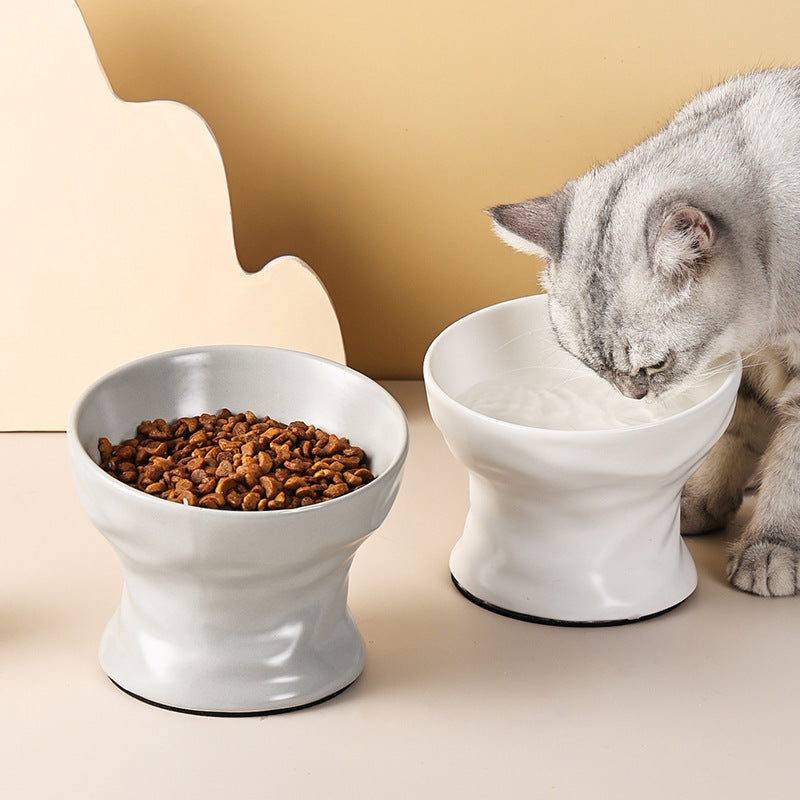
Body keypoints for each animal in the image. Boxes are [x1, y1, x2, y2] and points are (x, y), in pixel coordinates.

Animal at [484, 67, 800, 592]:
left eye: (654, 365)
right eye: (592, 367)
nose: (631, 395)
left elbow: (789, 471)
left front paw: (770, 547)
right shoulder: (748, 373)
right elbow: (729, 441)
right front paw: (695, 503)